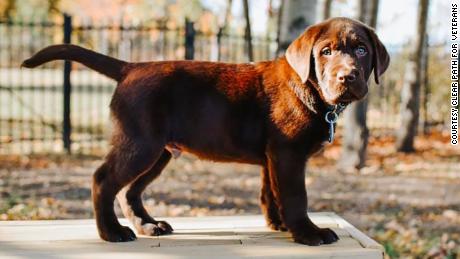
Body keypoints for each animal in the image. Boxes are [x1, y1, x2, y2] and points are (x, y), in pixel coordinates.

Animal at [21, 17, 388, 246]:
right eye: (325, 52)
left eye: (361, 50)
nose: (347, 76)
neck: (308, 88)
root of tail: (131, 67)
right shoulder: (288, 155)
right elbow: (296, 196)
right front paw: (308, 233)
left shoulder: (274, 157)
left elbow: (271, 193)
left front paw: (280, 224)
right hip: (141, 144)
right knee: (103, 180)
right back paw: (111, 232)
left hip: (158, 152)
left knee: (129, 192)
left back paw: (148, 226)